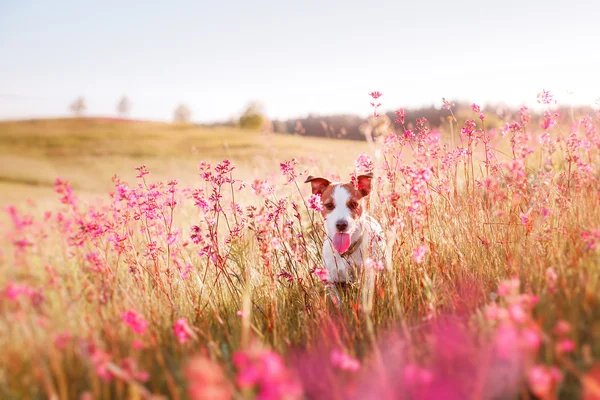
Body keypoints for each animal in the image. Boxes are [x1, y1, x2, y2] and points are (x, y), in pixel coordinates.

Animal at [304, 172, 384, 306]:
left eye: (354, 204)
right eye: (329, 205)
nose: (341, 224)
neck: (345, 252)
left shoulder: (366, 277)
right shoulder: (332, 281)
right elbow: (338, 302)